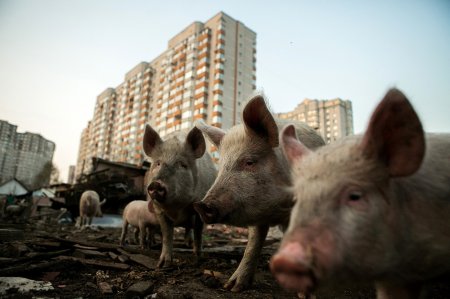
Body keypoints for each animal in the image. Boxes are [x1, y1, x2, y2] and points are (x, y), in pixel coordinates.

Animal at [142, 125, 216, 268]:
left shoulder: (199, 207)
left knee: (190, 229)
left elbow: (198, 232)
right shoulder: (159, 211)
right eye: (158, 163)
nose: (156, 184)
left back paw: (188, 244)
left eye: (182, 164)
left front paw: (198, 257)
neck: (176, 208)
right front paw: (162, 265)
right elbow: (167, 235)